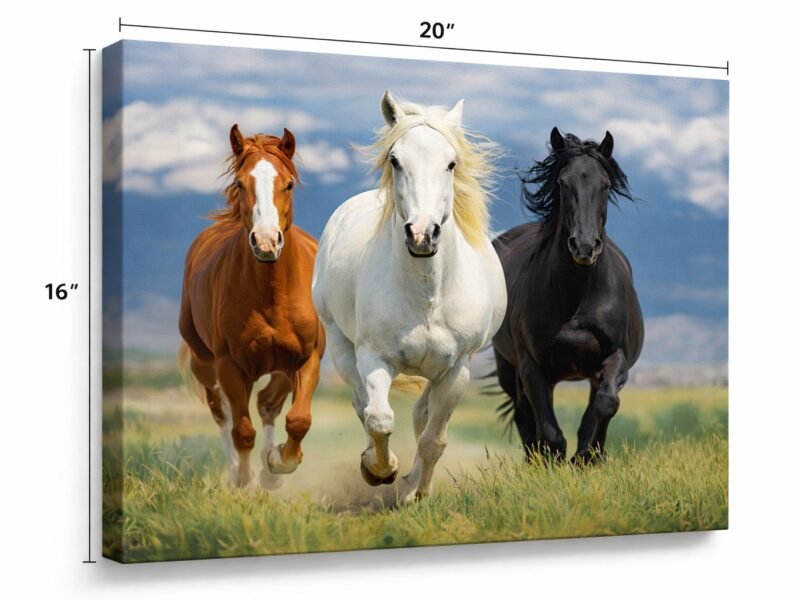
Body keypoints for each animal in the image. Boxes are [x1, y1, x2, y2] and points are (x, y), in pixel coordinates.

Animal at [178, 124, 325, 489]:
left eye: (288, 184)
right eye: (241, 183)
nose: (266, 241)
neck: (271, 293)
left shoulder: (307, 359)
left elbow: (298, 419)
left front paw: (280, 461)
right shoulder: (229, 365)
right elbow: (242, 430)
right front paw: (243, 478)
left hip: (280, 367)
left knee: (267, 404)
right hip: (204, 362)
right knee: (221, 412)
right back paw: (236, 471)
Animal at [312, 91, 507, 503]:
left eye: (451, 163)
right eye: (395, 160)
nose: (421, 234)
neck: (427, 295)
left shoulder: (456, 369)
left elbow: (434, 439)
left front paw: (416, 492)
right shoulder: (374, 357)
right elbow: (380, 418)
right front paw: (381, 470)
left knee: (421, 416)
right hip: (340, 342)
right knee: (362, 403)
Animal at [492, 127, 644, 463]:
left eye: (605, 184)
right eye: (563, 183)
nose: (584, 246)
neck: (578, 295)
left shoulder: (615, 358)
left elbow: (605, 404)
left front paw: (587, 456)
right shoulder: (532, 367)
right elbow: (549, 433)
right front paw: (556, 462)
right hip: (509, 369)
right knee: (524, 416)